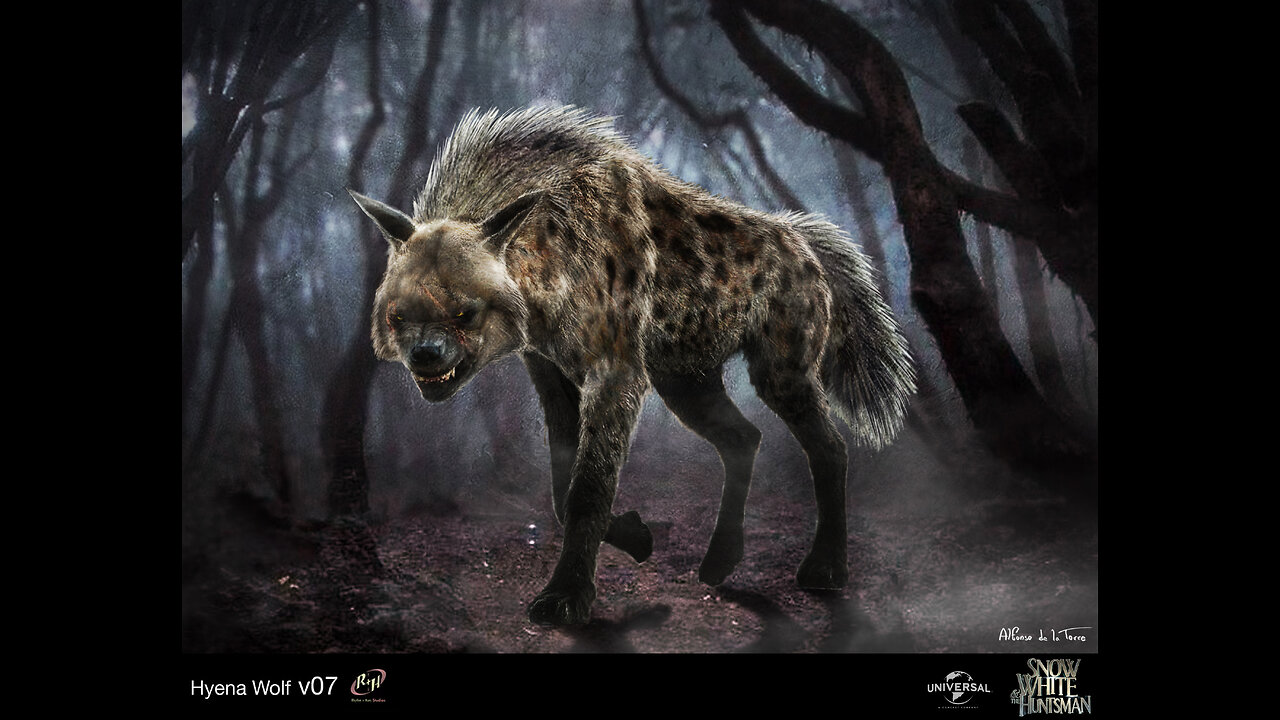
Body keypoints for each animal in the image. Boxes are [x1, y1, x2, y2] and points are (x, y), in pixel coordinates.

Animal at [350, 105, 915, 626]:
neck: (547, 264)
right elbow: (561, 482)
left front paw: (566, 598)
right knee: (742, 438)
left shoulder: (616, 371)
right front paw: (637, 538)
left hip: (778, 372)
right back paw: (720, 561)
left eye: (464, 313)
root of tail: (800, 237)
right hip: (684, 380)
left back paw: (825, 569)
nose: (426, 355)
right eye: (398, 316)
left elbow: (588, 484)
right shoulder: (549, 369)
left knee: (828, 445)